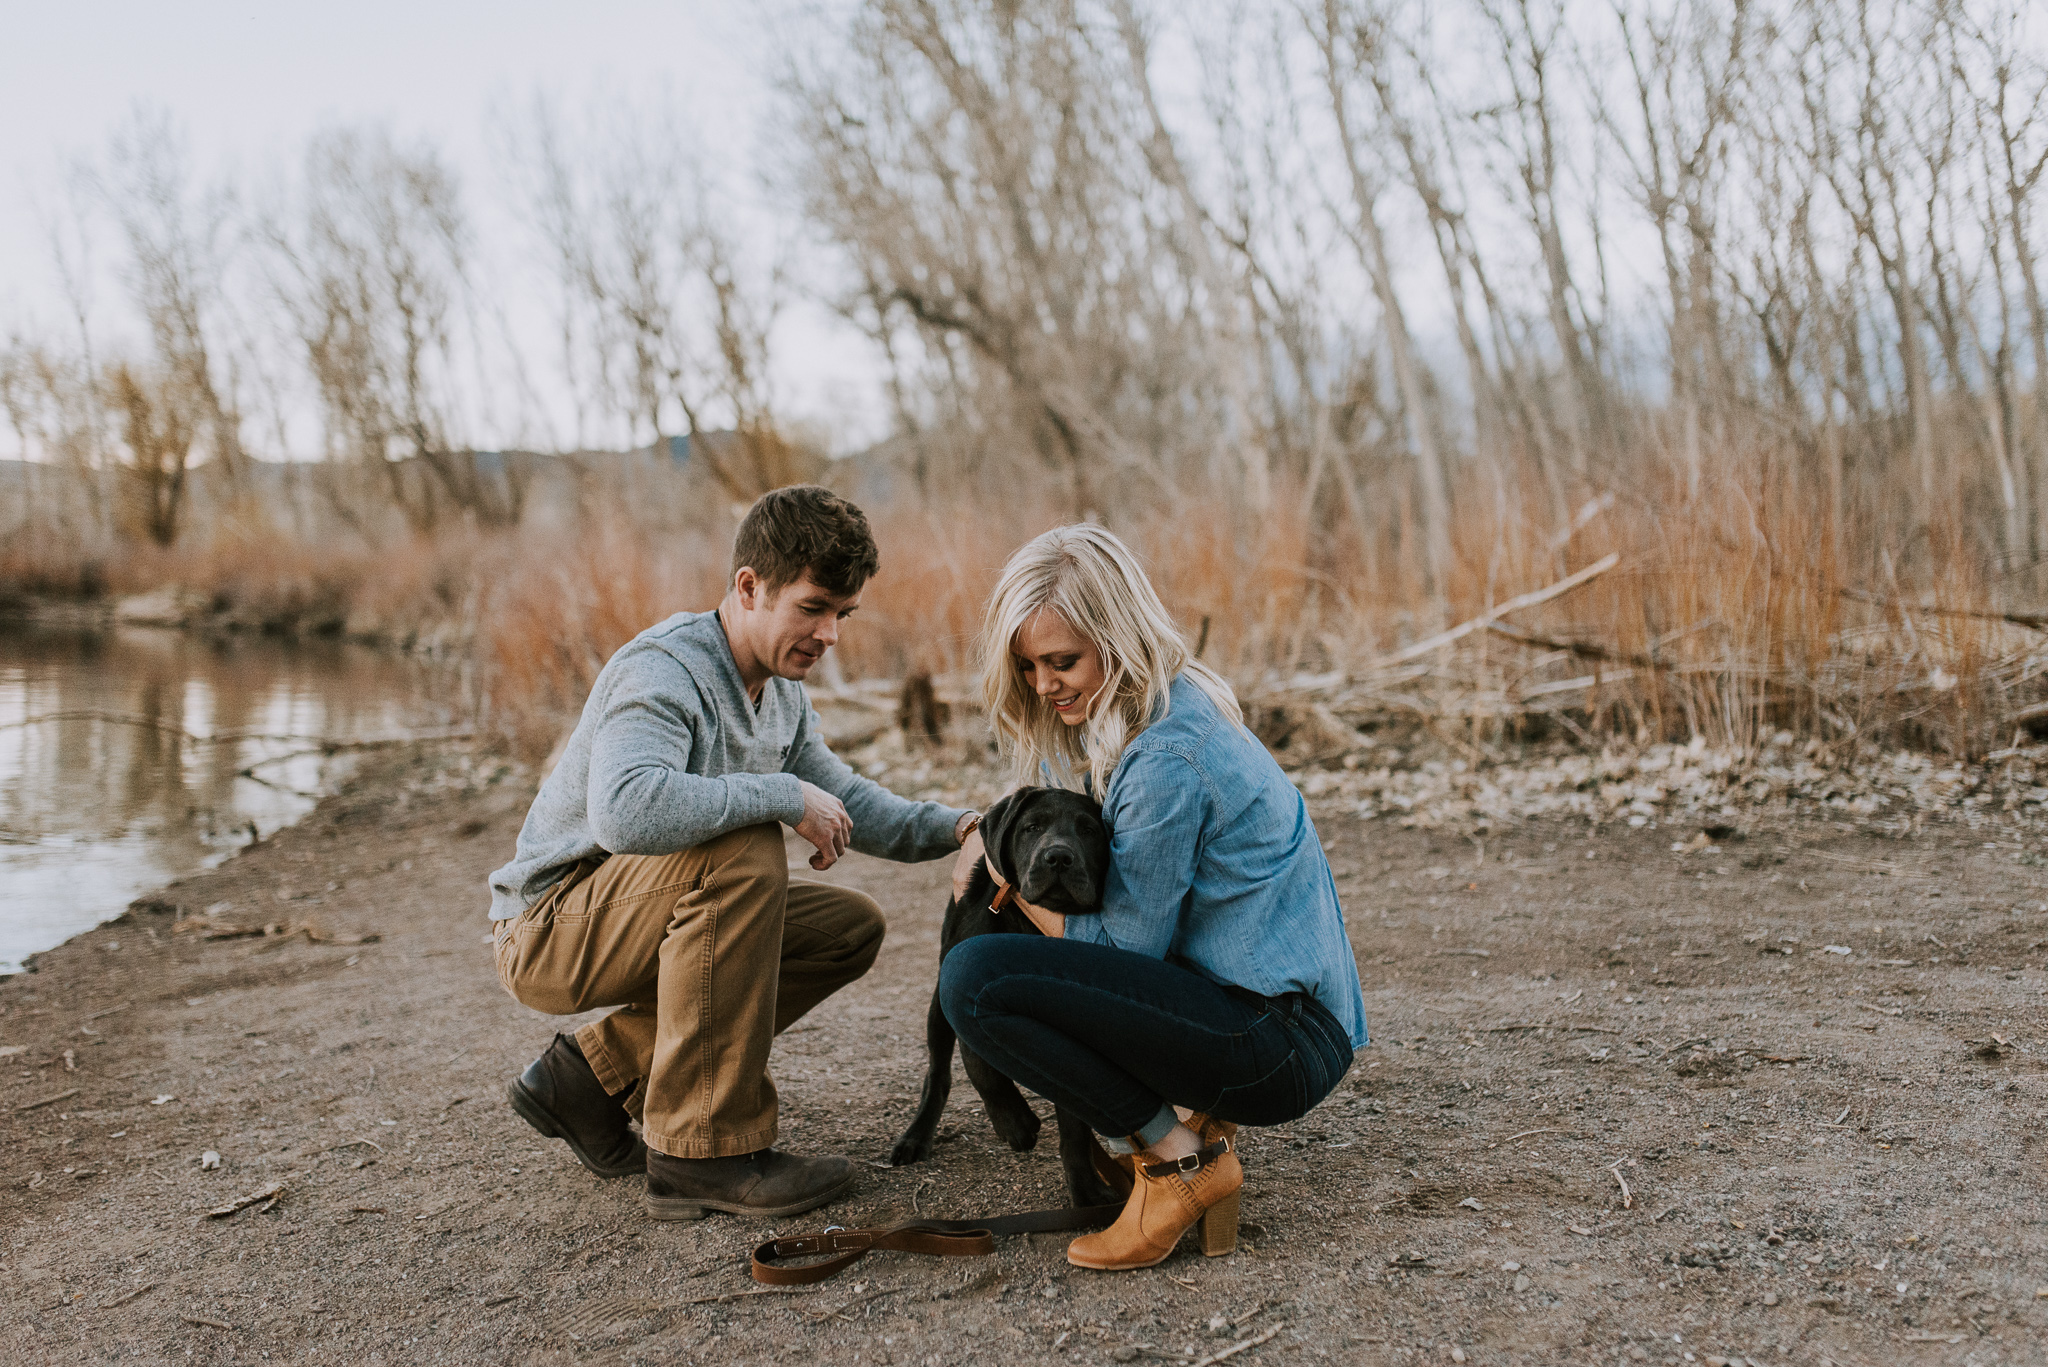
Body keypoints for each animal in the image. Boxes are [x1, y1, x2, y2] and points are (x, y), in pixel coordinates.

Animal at [888, 778, 1122, 1205]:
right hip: (937, 1004)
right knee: (938, 1073)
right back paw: (916, 1137)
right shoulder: (960, 979)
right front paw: (1014, 1122)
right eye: (1031, 827)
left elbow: (1074, 1122)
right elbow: (976, 1062)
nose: (1058, 857)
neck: (1026, 923)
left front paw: (1085, 1191)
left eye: (1089, 831)